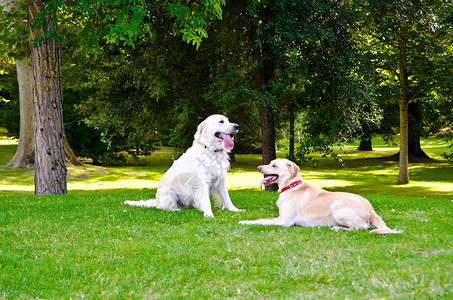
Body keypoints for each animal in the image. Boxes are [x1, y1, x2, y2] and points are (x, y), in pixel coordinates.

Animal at [238, 159, 400, 234]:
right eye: (270, 163)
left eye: (274, 166)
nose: (258, 167)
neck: (292, 186)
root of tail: (371, 210)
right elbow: (262, 218)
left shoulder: (284, 221)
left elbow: (261, 220)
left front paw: (245, 222)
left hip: (338, 206)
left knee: (361, 227)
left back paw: (338, 228)